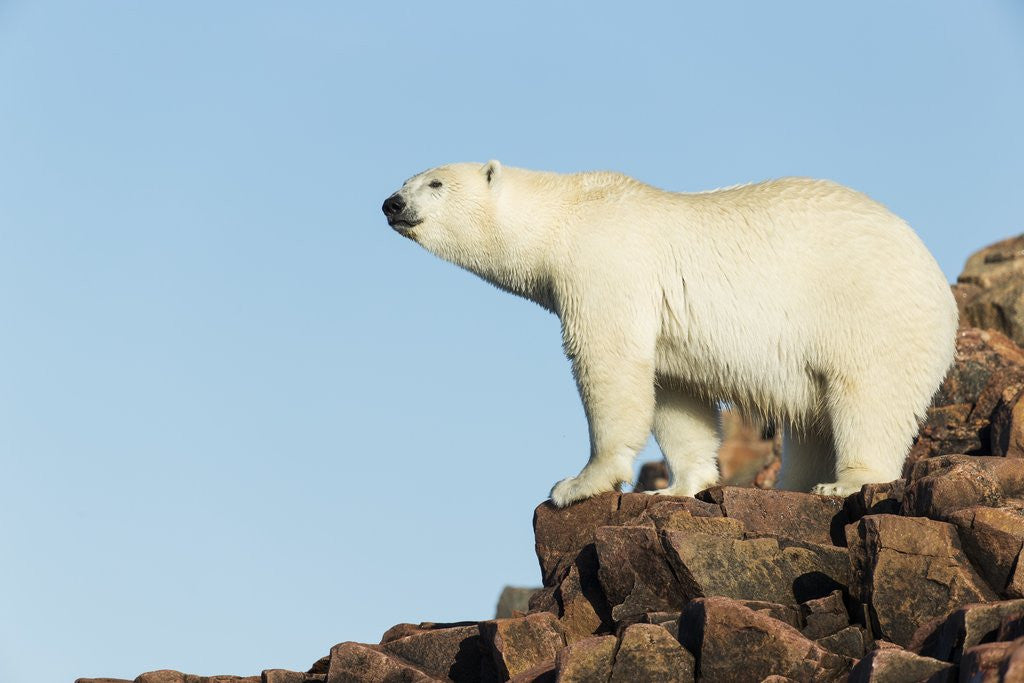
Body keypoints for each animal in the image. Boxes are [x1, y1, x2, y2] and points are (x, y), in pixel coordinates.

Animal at [381, 161, 958, 507]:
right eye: (407, 180)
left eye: (434, 183)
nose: (391, 203)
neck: (565, 214)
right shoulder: (665, 330)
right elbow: (675, 396)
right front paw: (678, 489)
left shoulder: (604, 267)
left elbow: (608, 364)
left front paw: (576, 484)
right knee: (812, 420)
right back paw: (791, 484)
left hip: (867, 310)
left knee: (868, 396)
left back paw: (845, 481)